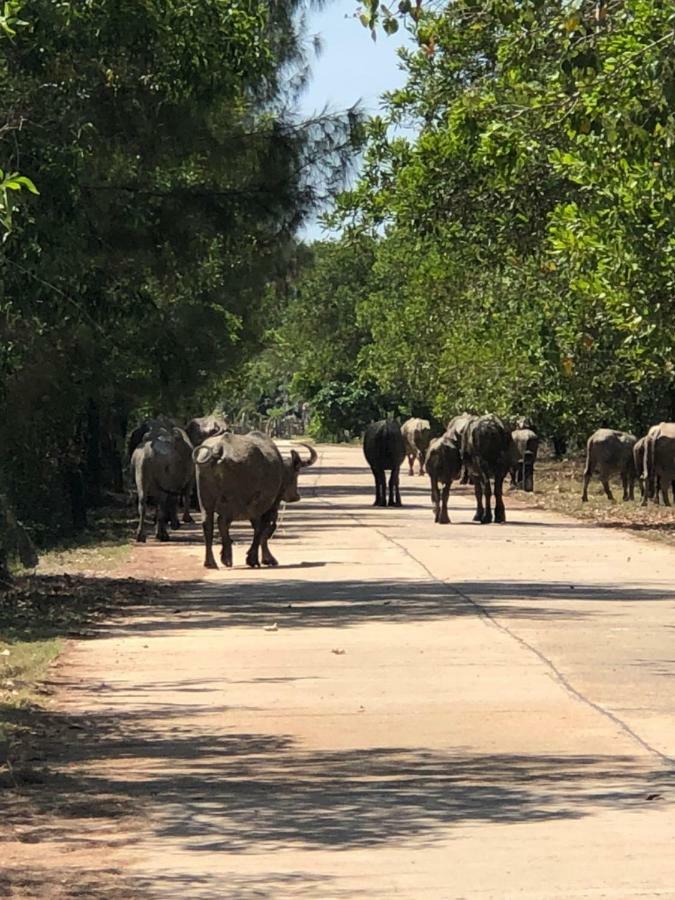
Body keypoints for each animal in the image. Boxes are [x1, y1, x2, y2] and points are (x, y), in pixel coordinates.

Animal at [191, 430, 316, 568]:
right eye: (296, 473)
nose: (296, 496)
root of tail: (219, 449)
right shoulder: (270, 505)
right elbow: (264, 529)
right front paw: (257, 558)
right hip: (235, 502)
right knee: (223, 522)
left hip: (205, 500)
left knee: (208, 524)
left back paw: (211, 562)